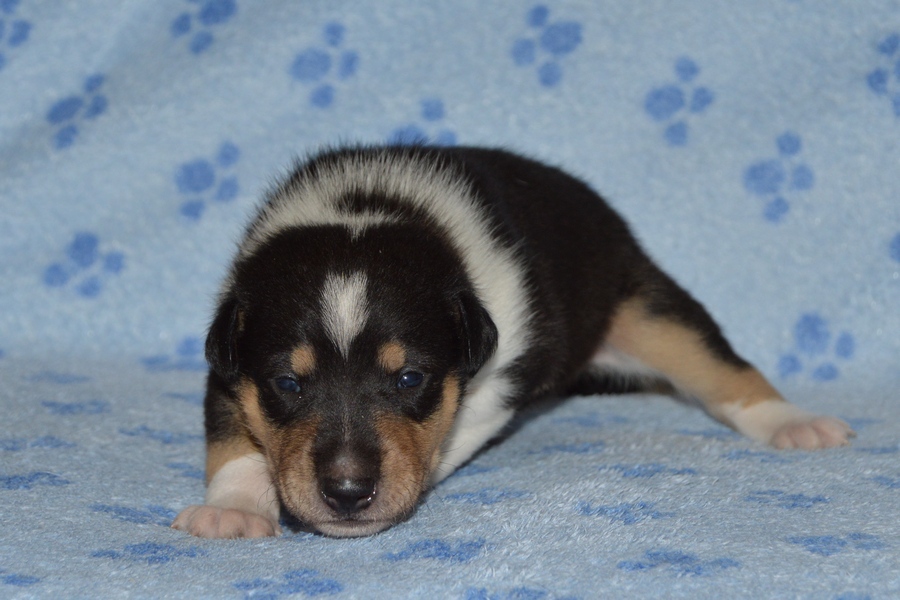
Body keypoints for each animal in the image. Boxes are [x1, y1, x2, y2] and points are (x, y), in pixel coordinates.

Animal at [172, 145, 853, 539]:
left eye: (410, 379)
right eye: (288, 384)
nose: (346, 495)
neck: (364, 206)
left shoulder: (508, 366)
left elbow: (450, 434)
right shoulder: (229, 362)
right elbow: (232, 442)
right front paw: (235, 509)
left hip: (646, 309)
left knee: (721, 366)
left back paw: (795, 423)